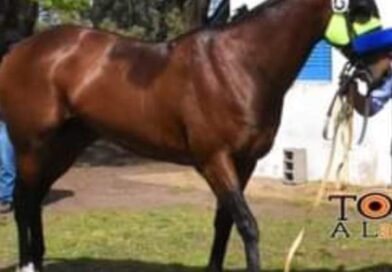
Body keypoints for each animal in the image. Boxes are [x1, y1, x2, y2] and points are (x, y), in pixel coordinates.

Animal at [0, 0, 390, 270]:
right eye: (359, 13)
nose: (383, 71)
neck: (238, 65)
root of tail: (20, 50)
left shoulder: (244, 162)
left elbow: (224, 223)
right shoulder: (214, 160)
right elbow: (247, 224)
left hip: (65, 147)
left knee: (35, 199)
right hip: (31, 146)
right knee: (22, 200)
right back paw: (28, 263)